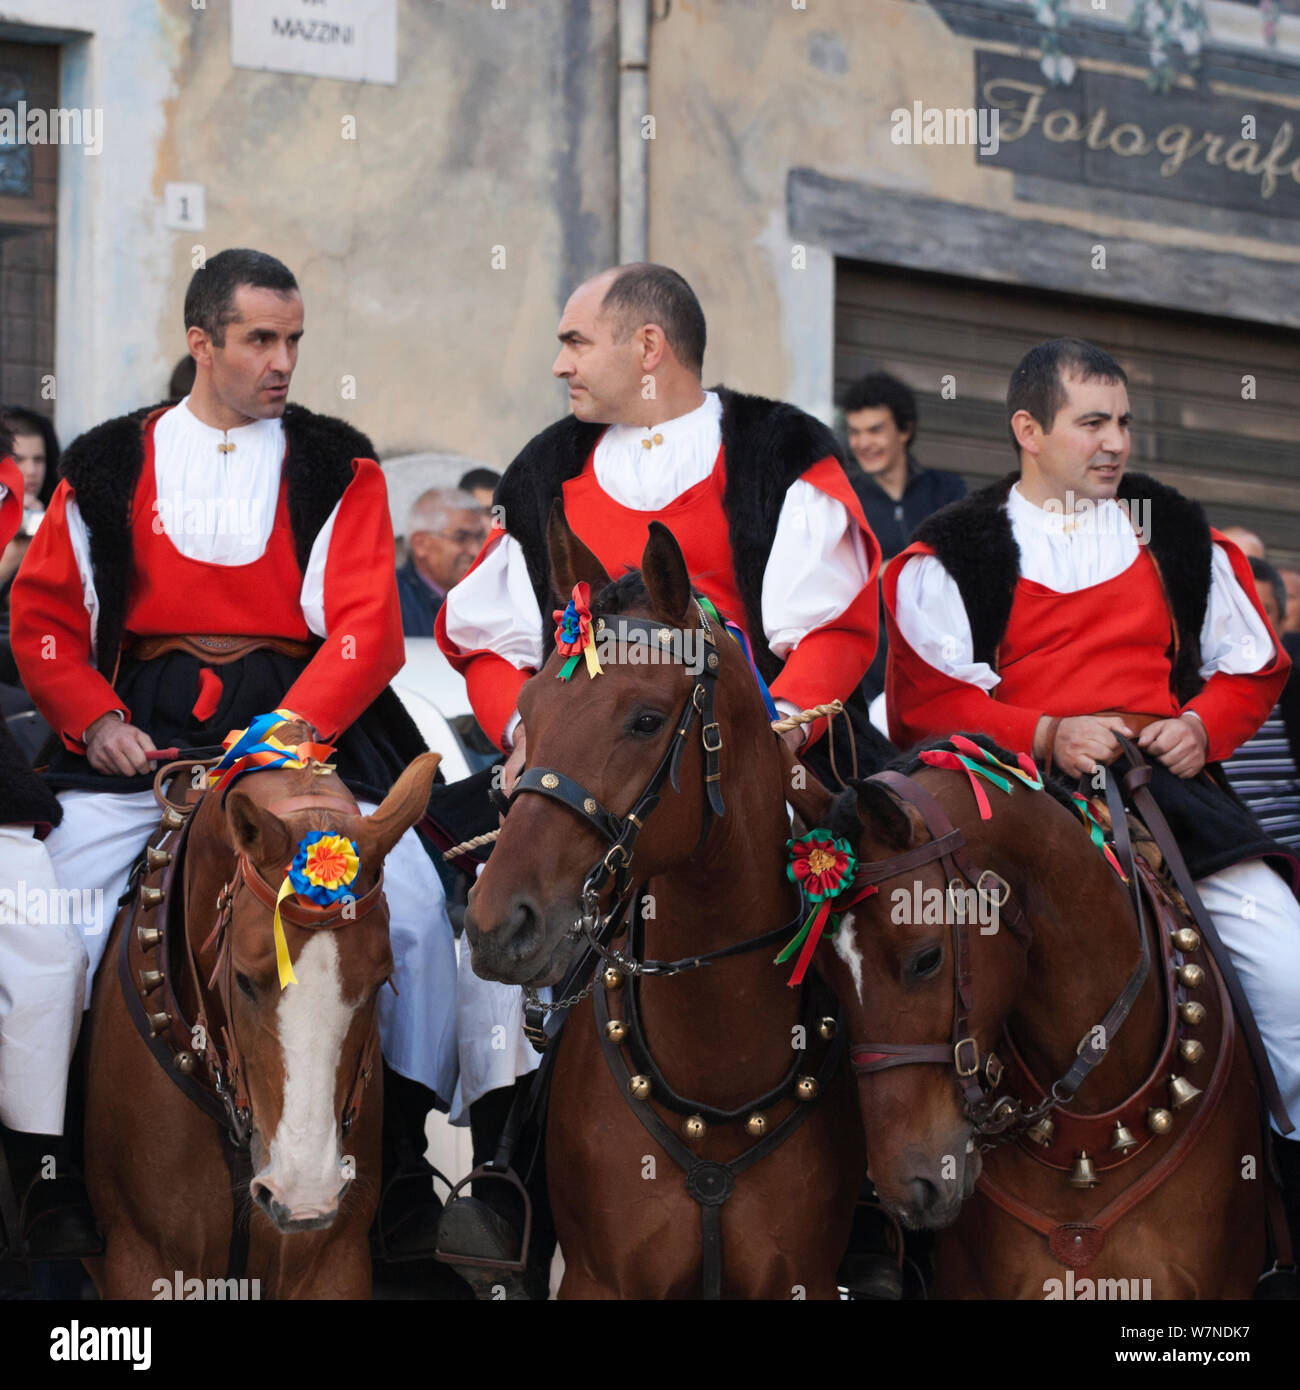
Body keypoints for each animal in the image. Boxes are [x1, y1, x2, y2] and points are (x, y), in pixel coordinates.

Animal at [461, 517, 867, 1295]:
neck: (717, 1065)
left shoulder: (796, 1277)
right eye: (527, 713)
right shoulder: (600, 1278)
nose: (498, 923)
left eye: (647, 721)